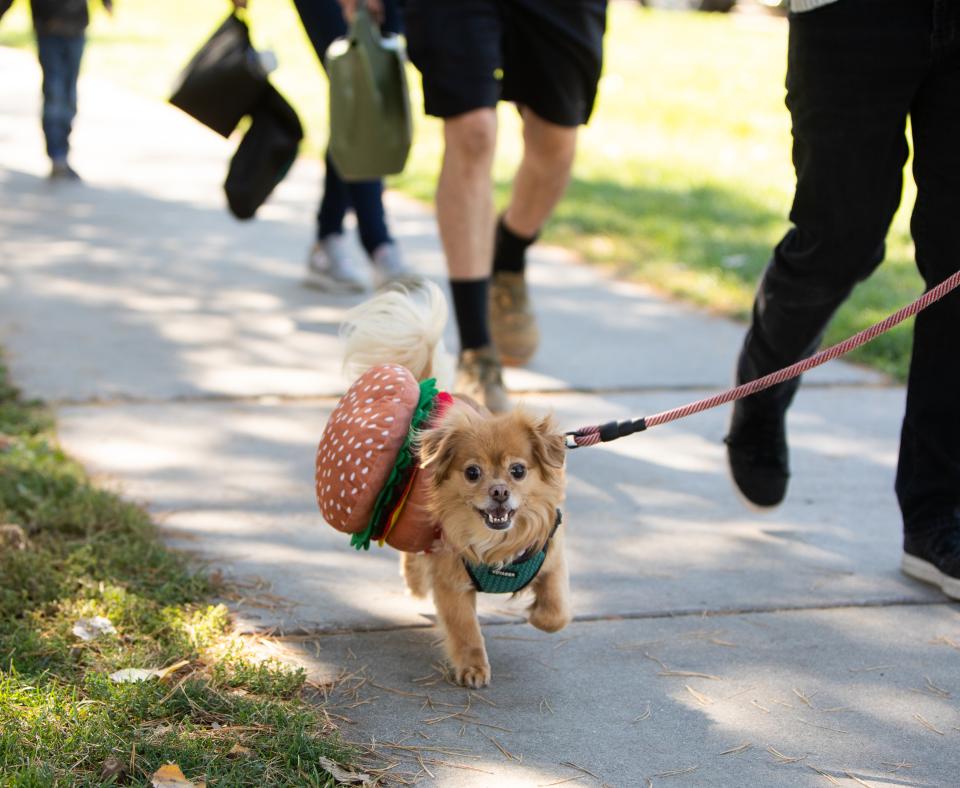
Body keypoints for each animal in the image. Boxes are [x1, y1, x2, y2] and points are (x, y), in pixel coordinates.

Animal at [340, 280, 568, 688]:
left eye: (518, 471)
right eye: (473, 472)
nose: (499, 492)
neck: (497, 550)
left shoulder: (553, 559)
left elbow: (555, 612)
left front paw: (537, 613)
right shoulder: (451, 581)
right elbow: (465, 631)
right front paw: (473, 667)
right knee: (413, 556)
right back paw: (415, 583)